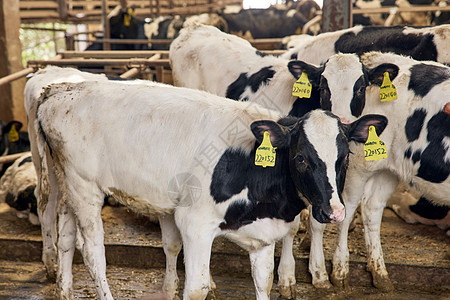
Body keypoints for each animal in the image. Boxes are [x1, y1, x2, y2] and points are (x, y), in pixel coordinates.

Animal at [24, 72, 384, 300]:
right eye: (300, 158)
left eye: (345, 157)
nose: (333, 211)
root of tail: (59, 89)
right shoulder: (194, 223)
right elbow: (195, 287)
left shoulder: (264, 237)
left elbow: (264, 283)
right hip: (84, 186)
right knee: (92, 251)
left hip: (65, 180)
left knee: (66, 233)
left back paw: (65, 291)